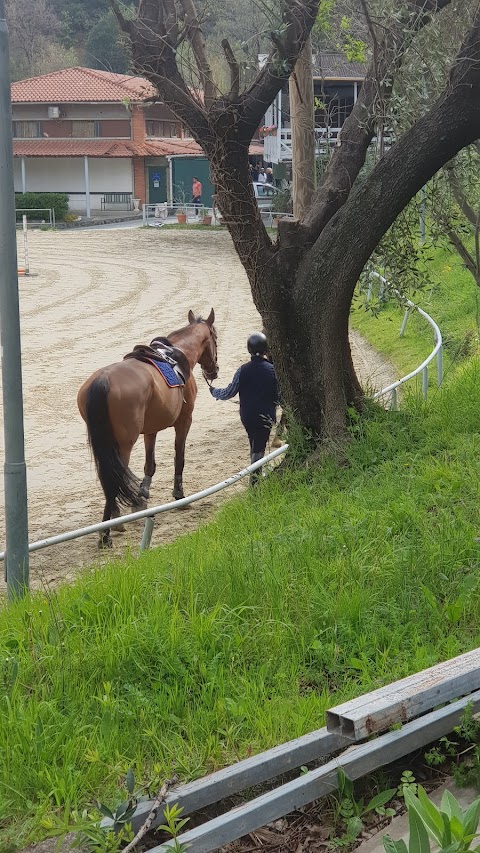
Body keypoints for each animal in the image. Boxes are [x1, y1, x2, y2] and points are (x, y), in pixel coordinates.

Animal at [77, 312, 218, 544]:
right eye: (215, 337)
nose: (214, 371)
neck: (176, 355)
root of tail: (103, 380)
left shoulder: (151, 430)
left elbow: (149, 465)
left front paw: (141, 499)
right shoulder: (184, 421)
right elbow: (179, 458)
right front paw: (179, 495)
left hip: (103, 443)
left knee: (107, 475)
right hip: (123, 444)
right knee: (114, 476)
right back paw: (109, 531)